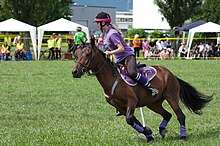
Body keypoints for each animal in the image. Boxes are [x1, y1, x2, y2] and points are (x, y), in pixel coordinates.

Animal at [72, 38, 213, 143]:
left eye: (88, 54)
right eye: (76, 55)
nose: (74, 72)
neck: (112, 79)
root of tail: (171, 74)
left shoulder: (132, 102)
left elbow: (130, 120)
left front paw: (148, 133)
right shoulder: (121, 107)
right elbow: (133, 121)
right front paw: (149, 135)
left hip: (171, 97)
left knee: (180, 115)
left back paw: (183, 136)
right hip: (153, 103)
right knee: (167, 115)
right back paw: (162, 130)